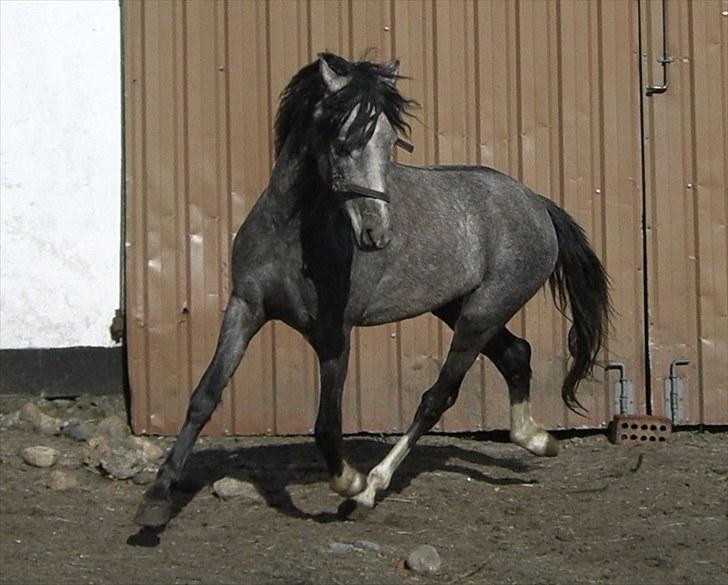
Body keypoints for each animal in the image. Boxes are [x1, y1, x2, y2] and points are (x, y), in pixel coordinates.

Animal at [134, 52, 611, 527]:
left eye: (388, 141)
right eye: (342, 140)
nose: (376, 233)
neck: (293, 238)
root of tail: (536, 204)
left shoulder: (334, 334)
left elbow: (327, 424)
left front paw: (350, 481)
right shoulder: (245, 307)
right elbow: (205, 395)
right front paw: (155, 499)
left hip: (482, 314)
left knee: (438, 397)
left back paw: (371, 489)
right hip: (459, 307)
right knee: (515, 354)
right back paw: (536, 439)